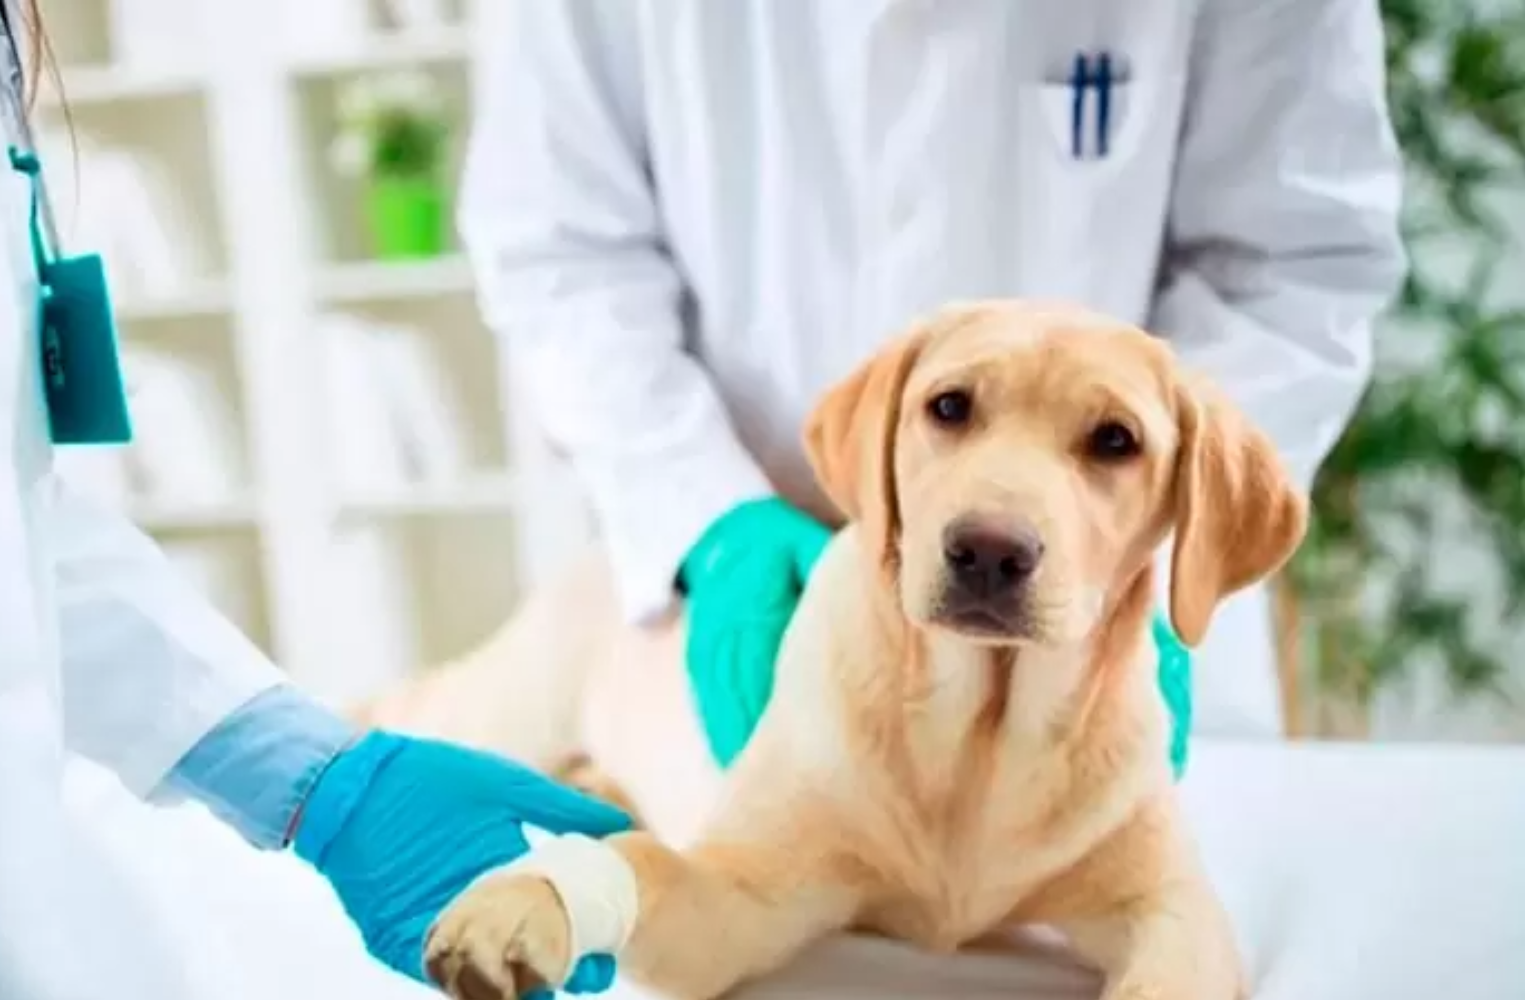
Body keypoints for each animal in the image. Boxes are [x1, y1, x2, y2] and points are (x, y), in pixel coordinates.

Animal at [366, 300, 1299, 993]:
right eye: (948, 406)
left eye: (1115, 440)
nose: (987, 551)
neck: (981, 735)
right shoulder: (742, 894)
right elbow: (635, 861)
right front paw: (526, 898)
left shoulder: (1173, 909)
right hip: (501, 710)